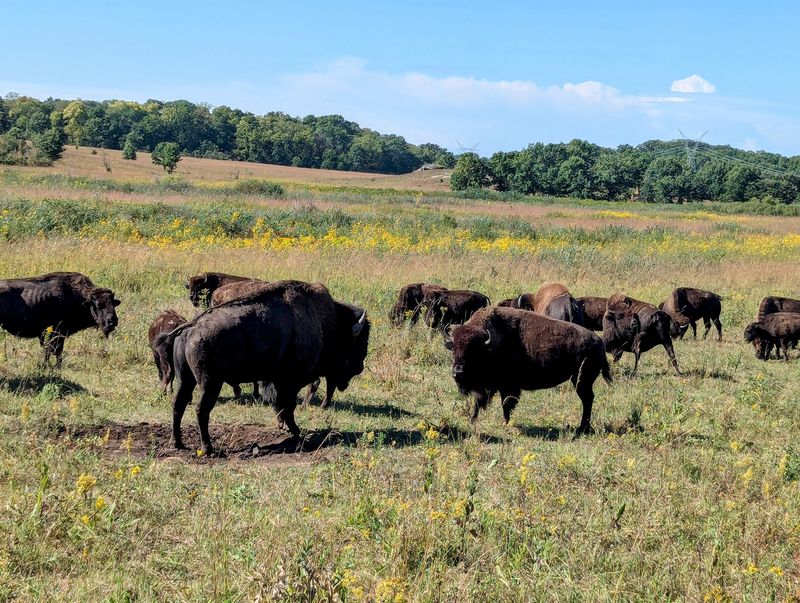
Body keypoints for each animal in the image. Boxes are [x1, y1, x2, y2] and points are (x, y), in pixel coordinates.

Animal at [157, 280, 369, 455]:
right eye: (359, 342)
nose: (359, 367)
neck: (326, 322)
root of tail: (191, 326)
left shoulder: (277, 381)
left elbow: (280, 405)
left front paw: (285, 428)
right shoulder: (290, 382)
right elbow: (287, 406)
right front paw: (295, 432)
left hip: (186, 379)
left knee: (178, 404)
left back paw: (177, 443)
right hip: (210, 383)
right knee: (201, 410)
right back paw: (207, 448)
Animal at [444, 306, 611, 432]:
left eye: (473, 351)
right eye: (454, 349)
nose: (458, 373)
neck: (489, 345)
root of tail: (599, 342)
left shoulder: (508, 386)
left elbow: (506, 403)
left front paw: (505, 422)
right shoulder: (489, 387)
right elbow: (479, 402)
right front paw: (473, 420)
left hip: (582, 380)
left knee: (587, 399)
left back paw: (582, 428)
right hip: (578, 379)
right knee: (587, 399)